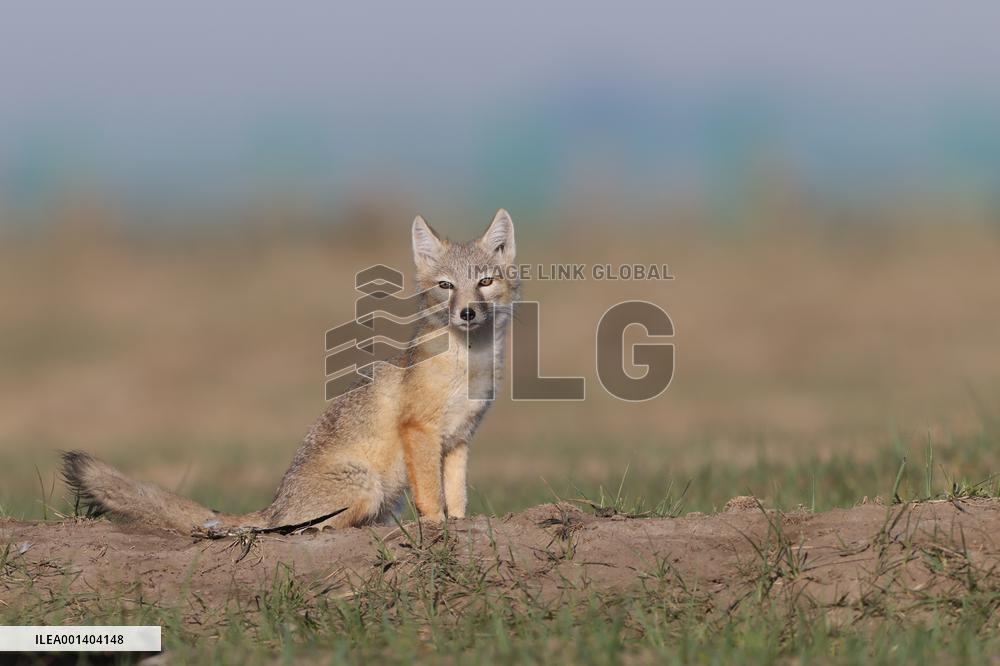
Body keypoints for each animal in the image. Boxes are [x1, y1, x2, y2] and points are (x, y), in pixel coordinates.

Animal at [62, 209, 520, 532]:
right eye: (446, 286)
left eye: (484, 282)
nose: (466, 313)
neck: (469, 367)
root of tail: (275, 506)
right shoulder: (419, 431)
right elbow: (431, 496)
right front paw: (437, 526)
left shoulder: (459, 439)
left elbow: (456, 494)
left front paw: (459, 524)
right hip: (366, 486)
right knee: (306, 530)